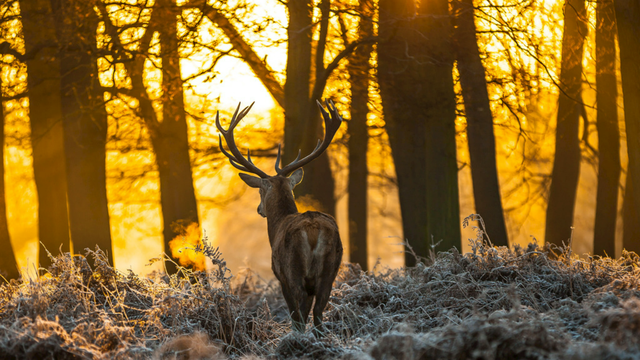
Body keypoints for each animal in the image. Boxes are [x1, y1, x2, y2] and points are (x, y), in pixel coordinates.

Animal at [216, 99, 344, 334]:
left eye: (260, 190)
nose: (259, 209)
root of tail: (313, 229)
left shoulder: (280, 274)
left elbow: (294, 313)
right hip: (330, 269)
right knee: (319, 312)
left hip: (293, 267)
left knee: (300, 312)